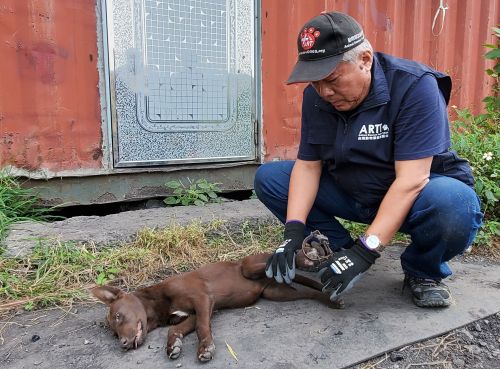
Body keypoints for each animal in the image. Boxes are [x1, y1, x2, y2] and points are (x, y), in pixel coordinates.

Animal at [92, 249, 342, 360]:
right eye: (114, 334)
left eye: (118, 316)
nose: (123, 344)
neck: (159, 302)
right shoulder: (189, 314)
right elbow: (175, 330)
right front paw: (173, 346)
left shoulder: (203, 300)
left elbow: (203, 327)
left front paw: (205, 348)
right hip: (277, 293)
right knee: (308, 292)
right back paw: (327, 297)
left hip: (250, 266)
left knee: (286, 259)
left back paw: (307, 256)